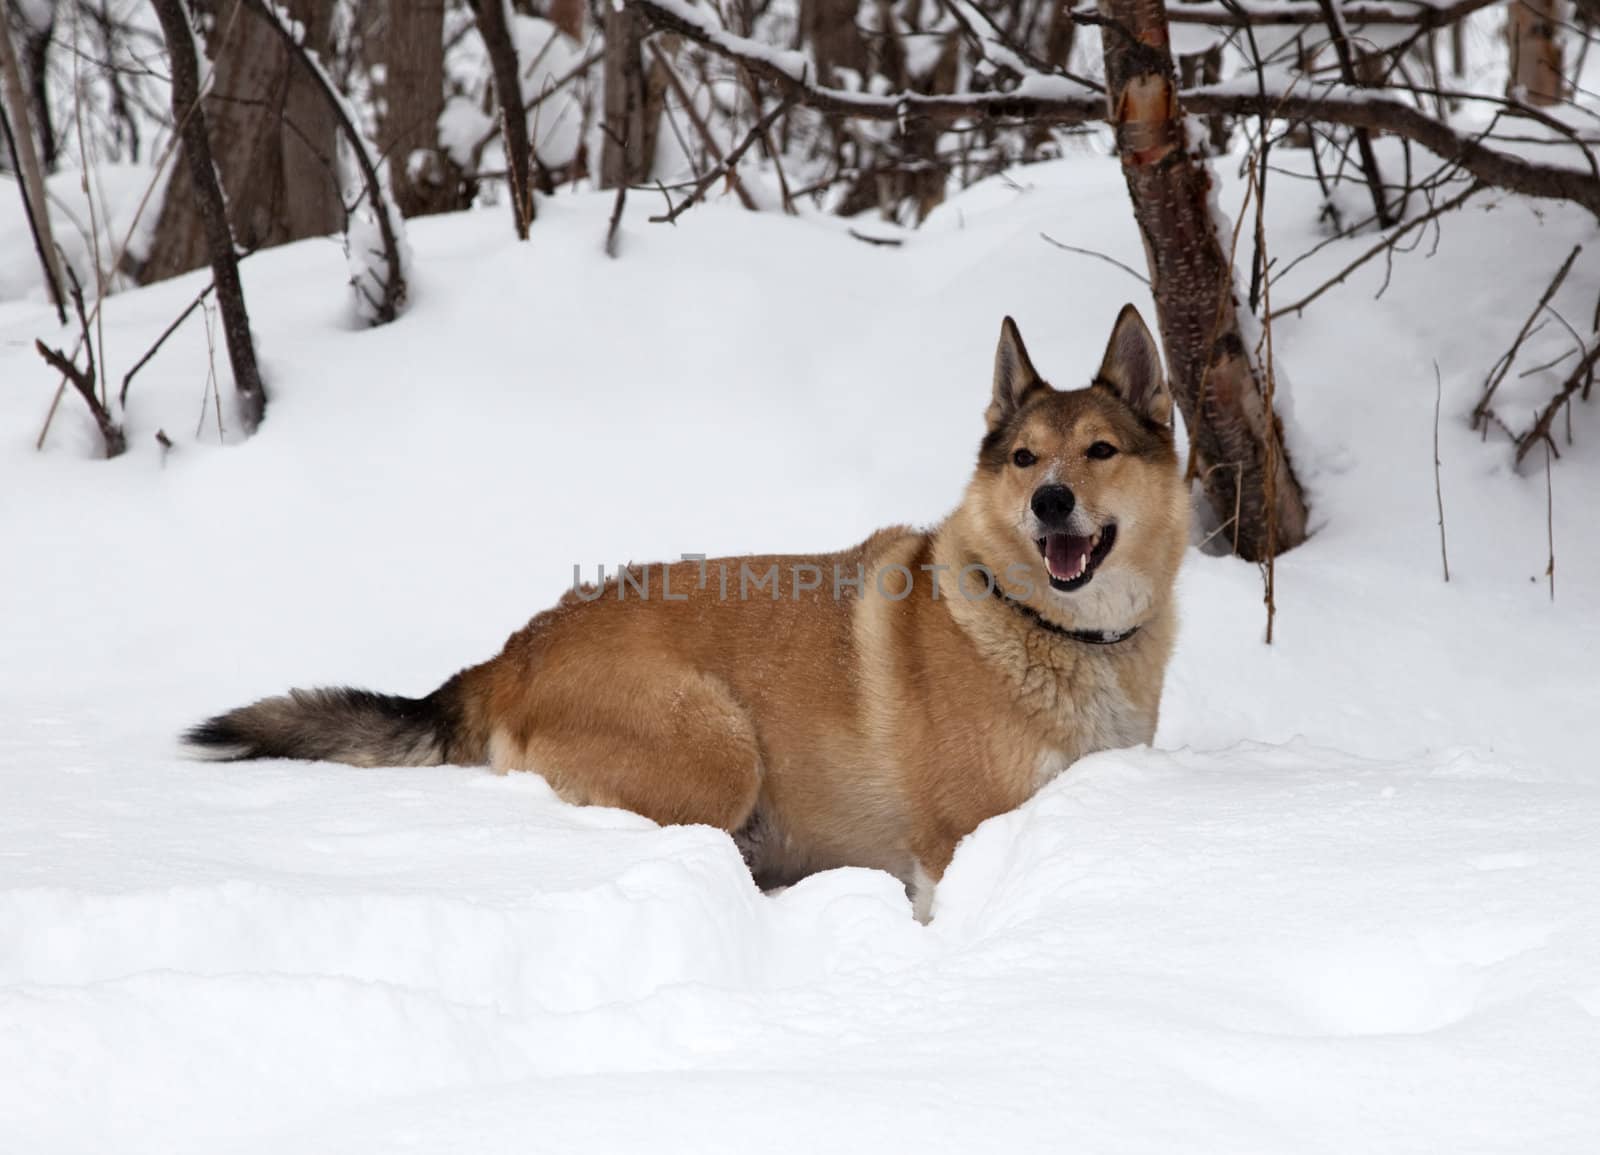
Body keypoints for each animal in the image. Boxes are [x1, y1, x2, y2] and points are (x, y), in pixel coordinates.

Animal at [187, 305, 1190, 915]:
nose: (1050, 502)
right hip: (719, 747)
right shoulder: (950, 846)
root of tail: (511, 652)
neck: (1049, 632)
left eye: (1098, 451)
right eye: (1023, 459)